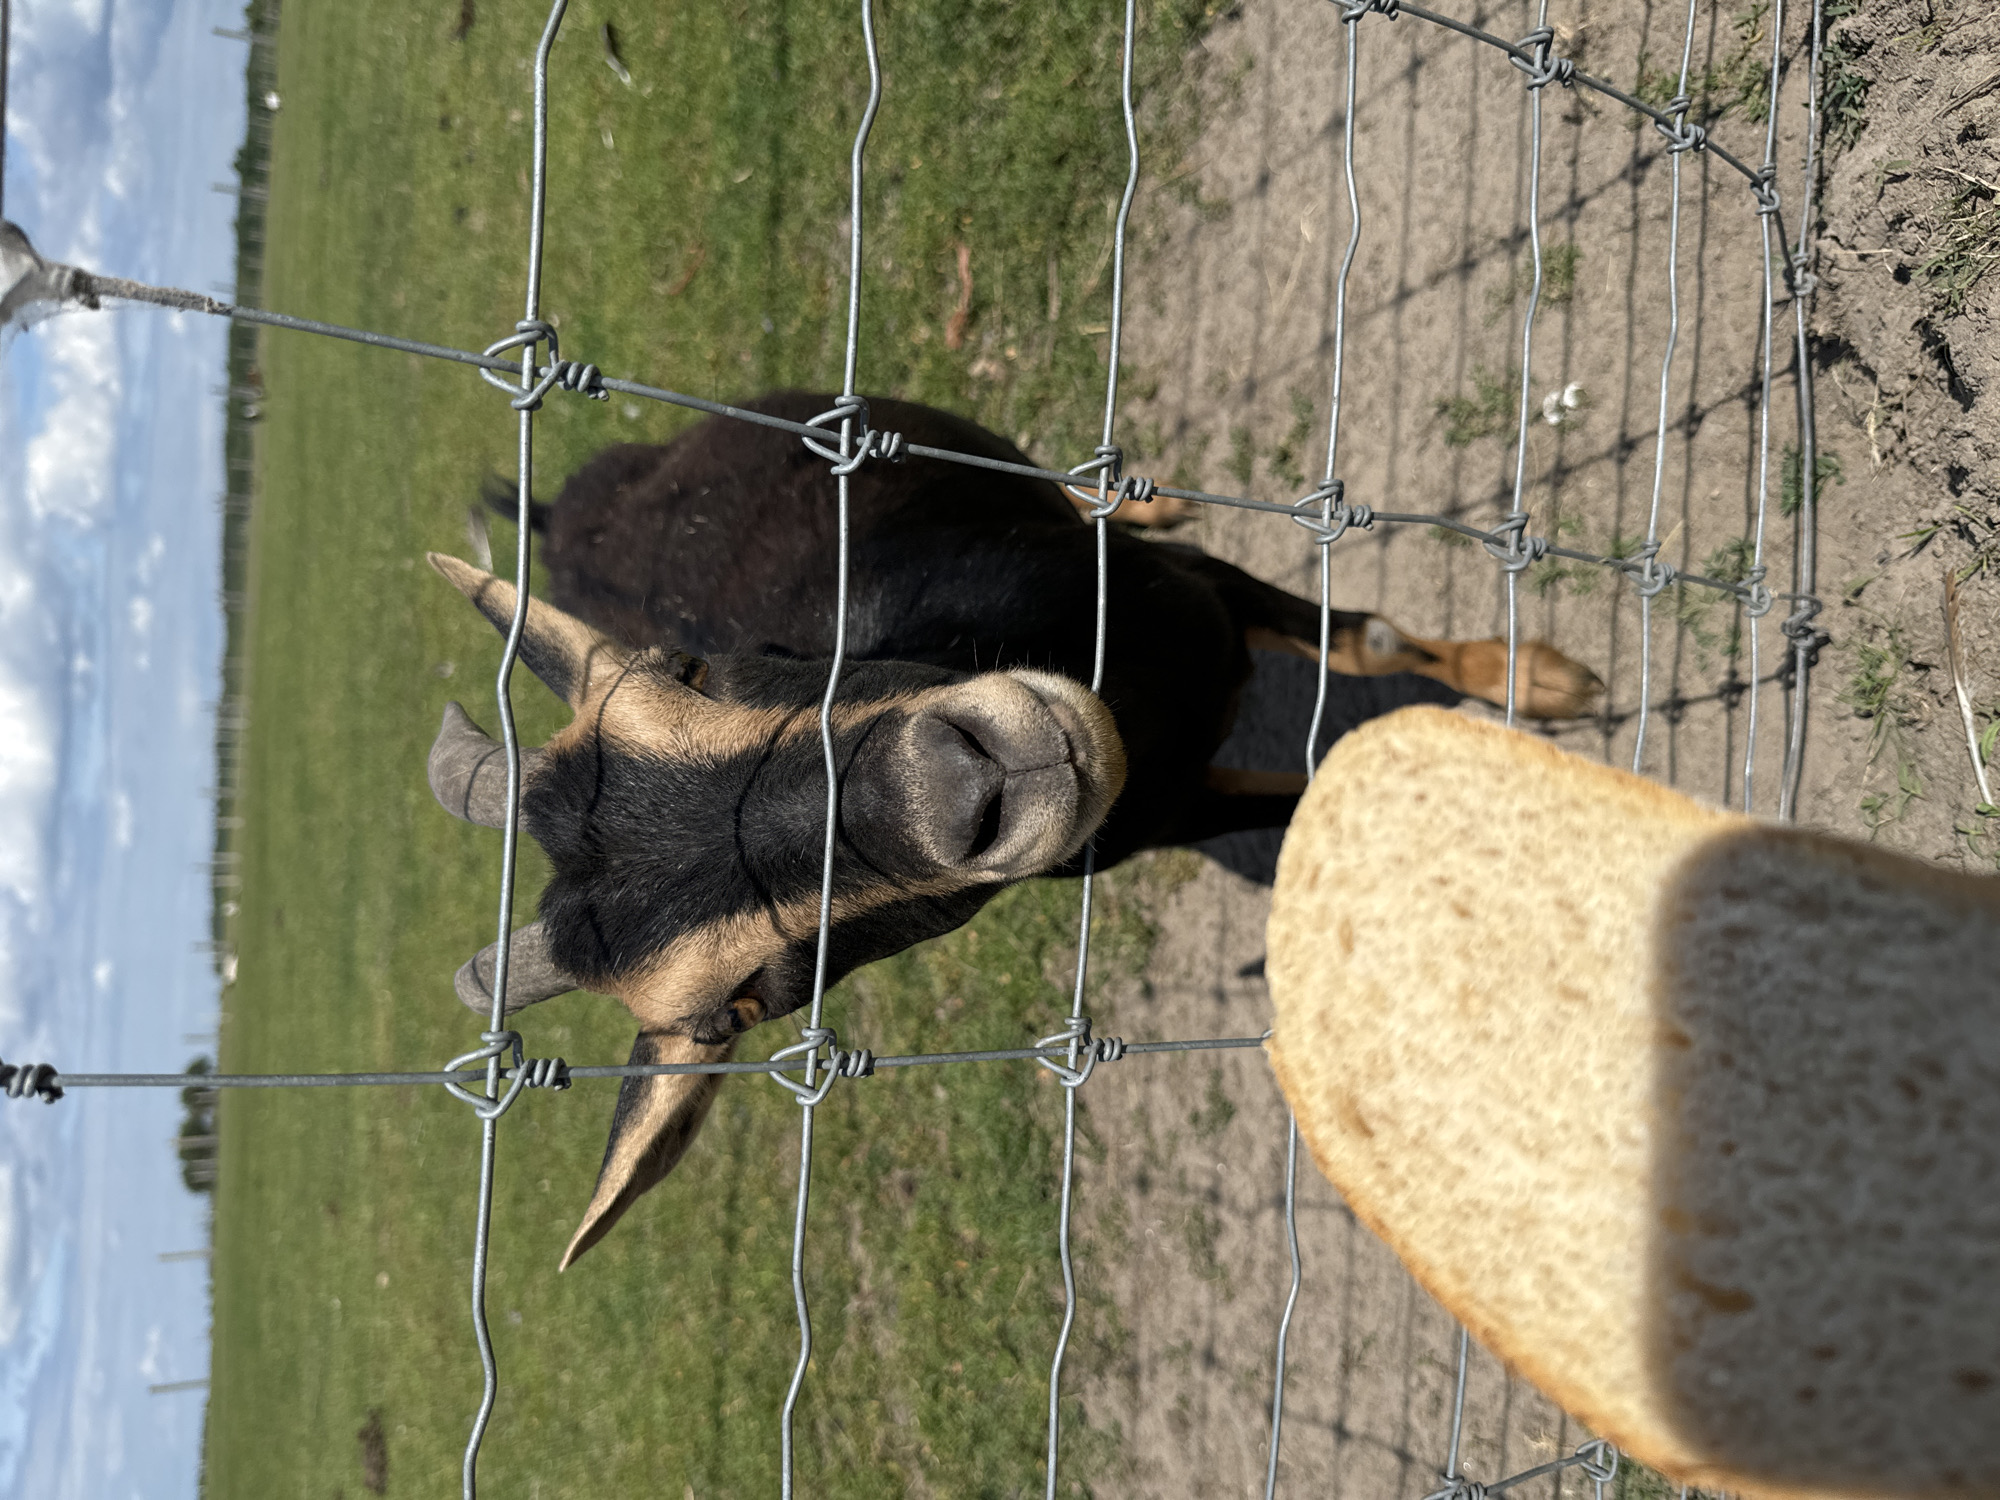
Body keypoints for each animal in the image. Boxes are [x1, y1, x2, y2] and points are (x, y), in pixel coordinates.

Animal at [426, 390, 1600, 1266]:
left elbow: (1367, 638)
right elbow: (1314, 782)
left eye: (688, 671)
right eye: (742, 1007)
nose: (964, 784)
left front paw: (1543, 683)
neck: (1137, 709)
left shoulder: (1199, 596)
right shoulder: (1170, 806)